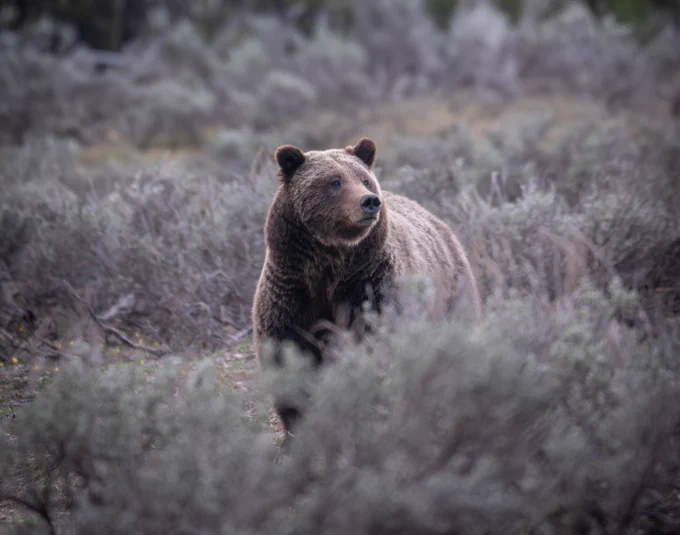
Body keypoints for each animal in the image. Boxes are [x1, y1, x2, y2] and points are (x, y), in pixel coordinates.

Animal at [252, 137, 482, 439]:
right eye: (334, 181)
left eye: (364, 179)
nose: (370, 201)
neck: (329, 266)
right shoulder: (291, 293)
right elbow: (288, 359)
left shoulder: (371, 287)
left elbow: (377, 344)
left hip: (452, 295)